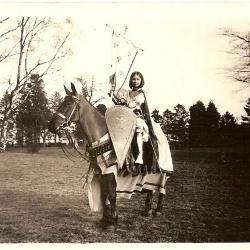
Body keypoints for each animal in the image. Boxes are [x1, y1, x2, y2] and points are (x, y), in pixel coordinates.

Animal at [48, 83, 174, 229]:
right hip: (149, 173)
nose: (51, 126)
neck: (101, 136)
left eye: (68, 103)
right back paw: (147, 209)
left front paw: (113, 221)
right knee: (150, 189)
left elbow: (112, 195)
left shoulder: (111, 170)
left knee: (162, 188)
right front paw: (105, 219)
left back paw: (158, 210)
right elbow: (104, 195)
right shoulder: (100, 171)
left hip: (163, 171)